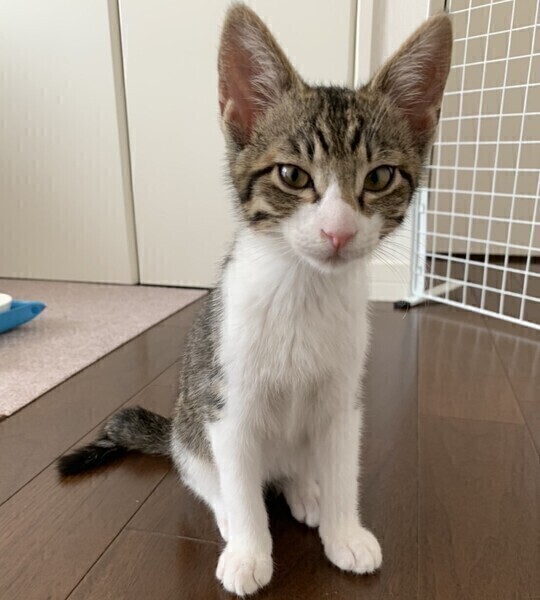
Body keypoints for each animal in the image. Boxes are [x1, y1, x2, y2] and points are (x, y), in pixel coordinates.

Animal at [58, 4, 452, 596]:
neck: (304, 290)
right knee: (205, 475)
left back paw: (306, 491)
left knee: (293, 468)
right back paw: (227, 511)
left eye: (380, 176)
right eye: (292, 174)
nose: (337, 232)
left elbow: (343, 465)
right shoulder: (227, 402)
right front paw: (249, 552)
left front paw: (344, 531)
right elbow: (239, 485)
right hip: (191, 422)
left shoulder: (344, 398)